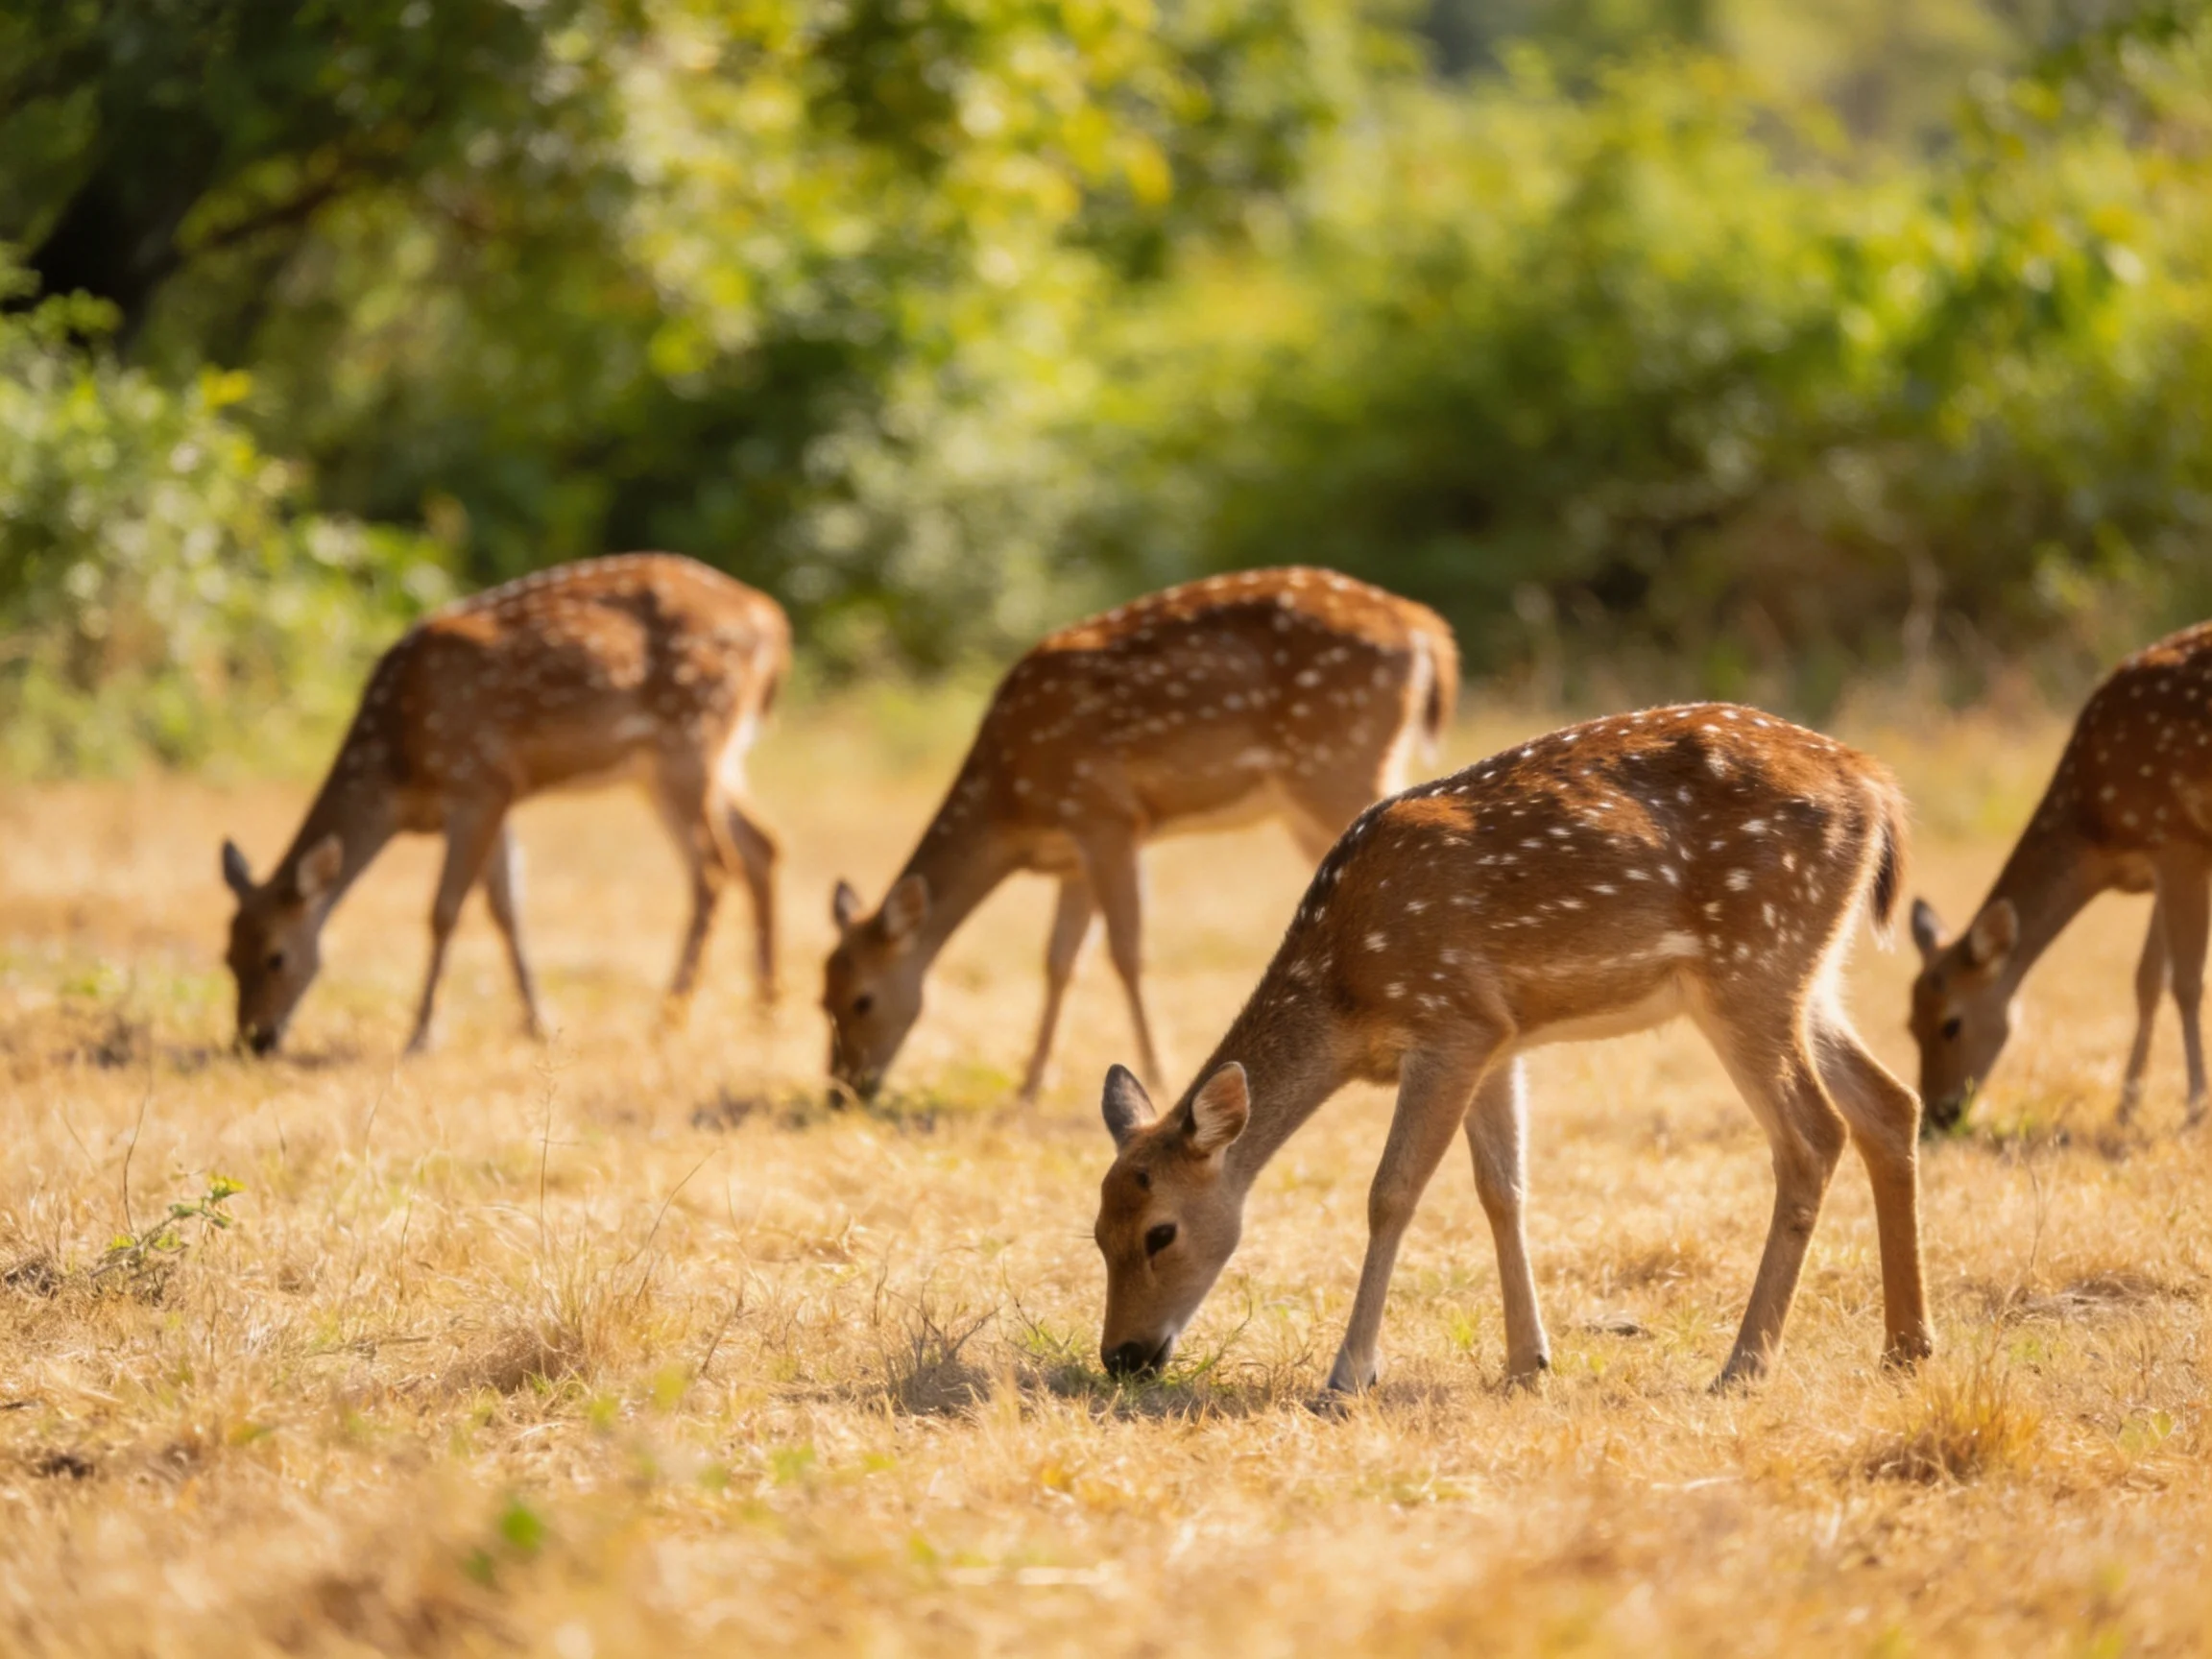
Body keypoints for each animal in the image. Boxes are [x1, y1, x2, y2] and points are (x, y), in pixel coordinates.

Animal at [220, 553, 787, 1055]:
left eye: (276, 957)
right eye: (227, 957)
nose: (254, 1041)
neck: (401, 769)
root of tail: (773, 622)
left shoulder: (477, 782)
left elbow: (445, 910)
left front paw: (422, 1036)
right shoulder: (500, 797)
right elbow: (507, 908)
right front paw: (538, 1023)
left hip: (686, 737)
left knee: (714, 866)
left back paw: (670, 1017)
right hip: (698, 759)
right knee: (762, 844)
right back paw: (763, 1008)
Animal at [822, 567, 1460, 1102]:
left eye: (861, 1000)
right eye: (820, 998)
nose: (844, 1090)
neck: (1010, 802)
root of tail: (1426, 628)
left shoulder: (1103, 812)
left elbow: (1127, 950)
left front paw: (1155, 1070)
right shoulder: (1073, 851)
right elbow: (1060, 960)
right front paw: (1030, 1084)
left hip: (1338, 758)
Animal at [1090, 704, 1931, 1397]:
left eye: (1160, 1231)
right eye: (1096, 1233)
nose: (1123, 1357)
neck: (1346, 990)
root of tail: (1877, 784)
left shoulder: (1451, 1019)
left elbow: (1392, 1192)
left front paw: (1349, 1373)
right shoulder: (1498, 1035)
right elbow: (1504, 1188)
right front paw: (1529, 1361)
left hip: (1750, 960)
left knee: (1812, 1133)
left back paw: (1746, 1364)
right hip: (1805, 973)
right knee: (1891, 1102)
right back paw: (1906, 1347)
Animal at [1909, 619, 2212, 1131]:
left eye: (1951, 1023)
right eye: (1910, 1025)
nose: (1938, 1115)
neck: (2098, 831)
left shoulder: (2178, 838)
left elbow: (2187, 984)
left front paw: (2194, 1111)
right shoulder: (2158, 859)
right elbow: (2147, 980)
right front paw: (2125, 1109)